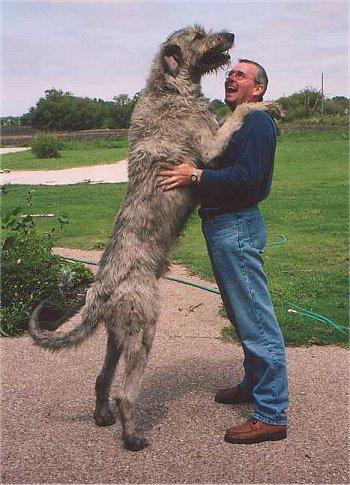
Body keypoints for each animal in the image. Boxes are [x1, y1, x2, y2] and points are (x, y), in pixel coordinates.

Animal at [30, 26, 274, 450]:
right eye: (198, 34)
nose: (229, 34)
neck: (170, 88)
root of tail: (101, 287)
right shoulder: (209, 144)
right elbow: (239, 113)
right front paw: (268, 107)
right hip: (142, 329)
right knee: (125, 393)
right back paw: (133, 438)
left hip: (117, 334)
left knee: (102, 378)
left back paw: (103, 418)